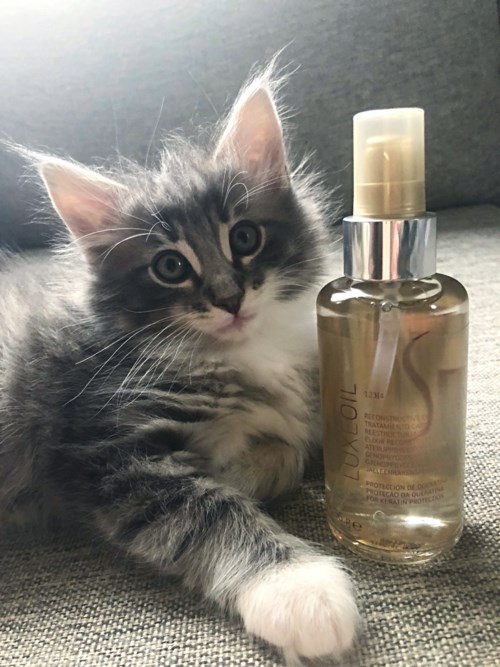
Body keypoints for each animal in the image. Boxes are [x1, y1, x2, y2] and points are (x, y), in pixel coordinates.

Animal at [0, 68, 358, 663]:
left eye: (245, 237)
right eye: (170, 267)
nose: (230, 298)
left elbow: (288, 449)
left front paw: (241, 467)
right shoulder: (108, 450)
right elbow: (206, 511)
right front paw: (299, 591)